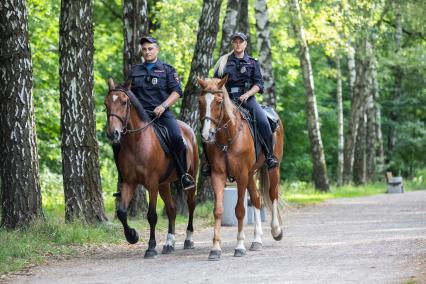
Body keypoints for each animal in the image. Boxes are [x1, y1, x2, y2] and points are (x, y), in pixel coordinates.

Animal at [104, 77, 197, 258]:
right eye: (106, 104)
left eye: (124, 102)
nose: (113, 133)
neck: (137, 142)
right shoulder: (129, 183)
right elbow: (122, 213)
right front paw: (132, 236)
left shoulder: (152, 184)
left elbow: (152, 215)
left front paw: (151, 247)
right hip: (164, 184)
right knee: (172, 210)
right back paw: (169, 243)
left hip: (189, 177)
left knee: (191, 204)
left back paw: (188, 239)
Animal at [198, 75, 284, 260]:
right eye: (200, 101)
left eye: (219, 101)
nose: (206, 134)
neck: (227, 137)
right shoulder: (218, 175)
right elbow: (218, 210)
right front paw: (215, 248)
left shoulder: (241, 175)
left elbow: (240, 210)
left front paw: (239, 246)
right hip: (251, 174)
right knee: (257, 199)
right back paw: (257, 240)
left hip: (272, 169)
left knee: (272, 194)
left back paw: (276, 230)